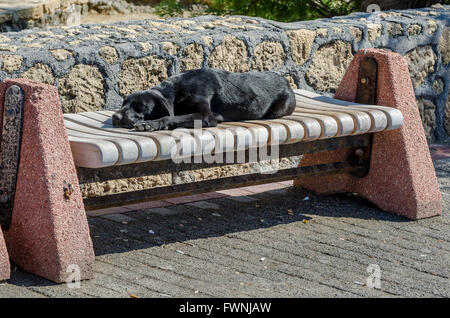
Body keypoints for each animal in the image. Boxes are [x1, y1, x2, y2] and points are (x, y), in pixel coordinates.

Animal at [111, 67, 298, 131]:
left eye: (139, 106)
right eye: (124, 103)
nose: (115, 117)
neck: (177, 91)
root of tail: (286, 82)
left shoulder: (206, 116)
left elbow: (172, 117)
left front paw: (151, 124)